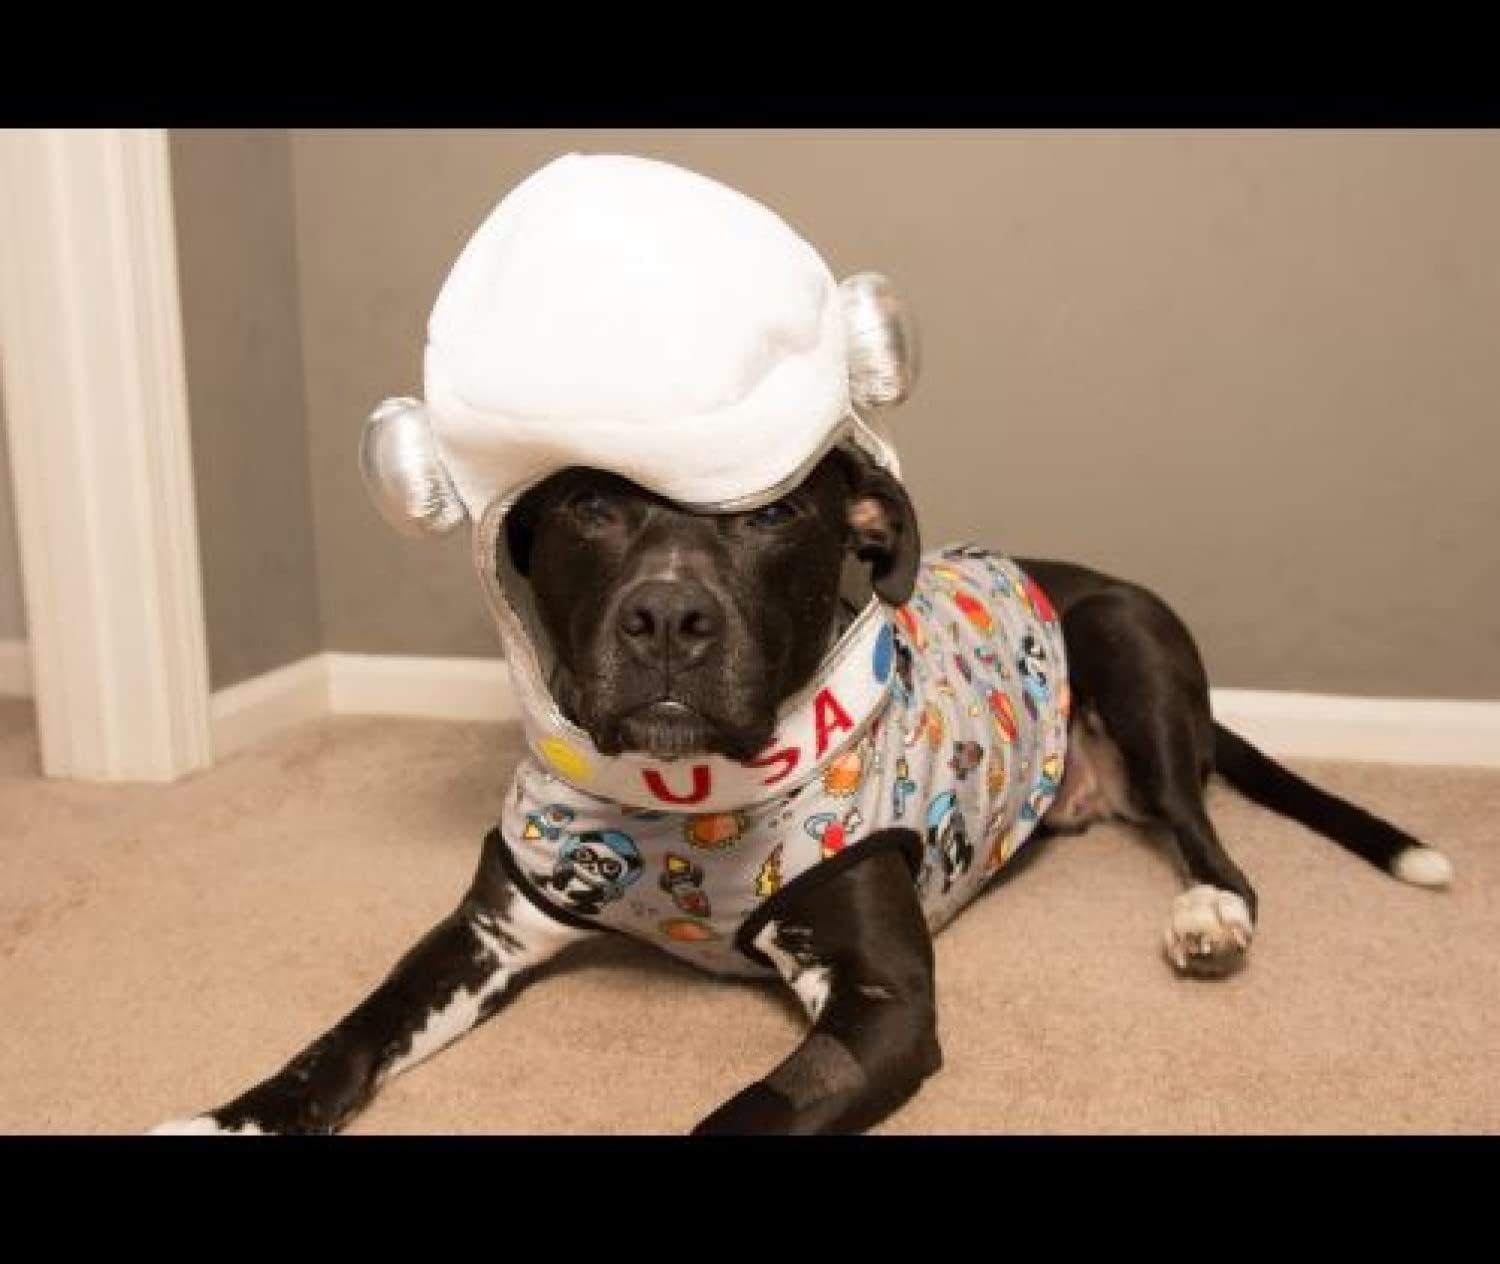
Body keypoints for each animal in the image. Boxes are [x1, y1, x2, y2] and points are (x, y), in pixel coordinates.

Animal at [153, 443, 1452, 1136]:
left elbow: (749, 1112)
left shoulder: (881, 999)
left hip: (1132, 636)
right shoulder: (485, 928)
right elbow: (346, 1037)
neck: (677, 800)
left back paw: (1209, 916)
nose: (669, 619)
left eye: (777, 510)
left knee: (1203, 831)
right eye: (590, 503)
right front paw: (229, 1116)